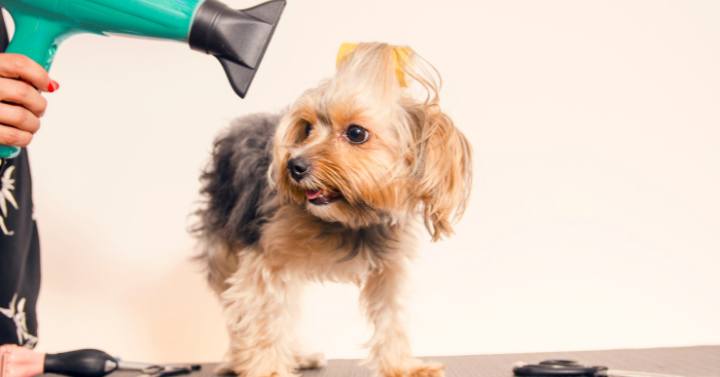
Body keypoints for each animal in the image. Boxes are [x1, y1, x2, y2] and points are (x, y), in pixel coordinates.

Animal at [194, 41, 472, 376]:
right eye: (307, 129)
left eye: (356, 133)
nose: (294, 165)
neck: (348, 219)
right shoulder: (265, 258)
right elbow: (261, 316)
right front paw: (269, 369)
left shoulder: (389, 267)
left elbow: (391, 316)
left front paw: (400, 365)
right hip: (224, 244)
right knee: (238, 309)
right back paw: (239, 360)